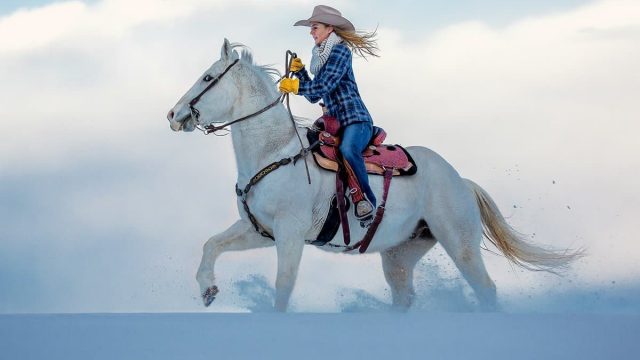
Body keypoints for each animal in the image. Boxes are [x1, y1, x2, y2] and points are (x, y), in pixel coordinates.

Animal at [165, 38, 580, 310]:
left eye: (208, 78)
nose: (173, 114)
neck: (276, 153)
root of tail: (460, 181)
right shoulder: (260, 231)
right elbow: (211, 245)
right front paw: (207, 290)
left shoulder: (290, 235)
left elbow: (282, 289)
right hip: (400, 255)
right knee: (404, 297)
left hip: (459, 243)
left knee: (485, 290)